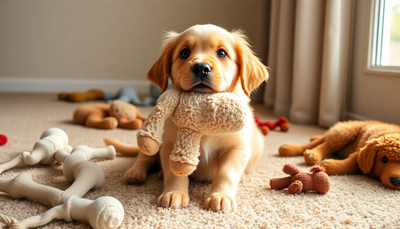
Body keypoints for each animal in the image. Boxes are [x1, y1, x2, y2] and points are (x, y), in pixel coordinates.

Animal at [126, 24, 268, 212]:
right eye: (184, 53)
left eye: (222, 53)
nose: (201, 68)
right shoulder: (169, 143)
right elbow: (174, 173)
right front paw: (174, 193)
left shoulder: (237, 147)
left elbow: (226, 173)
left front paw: (220, 196)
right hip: (153, 143)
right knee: (144, 157)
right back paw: (136, 172)